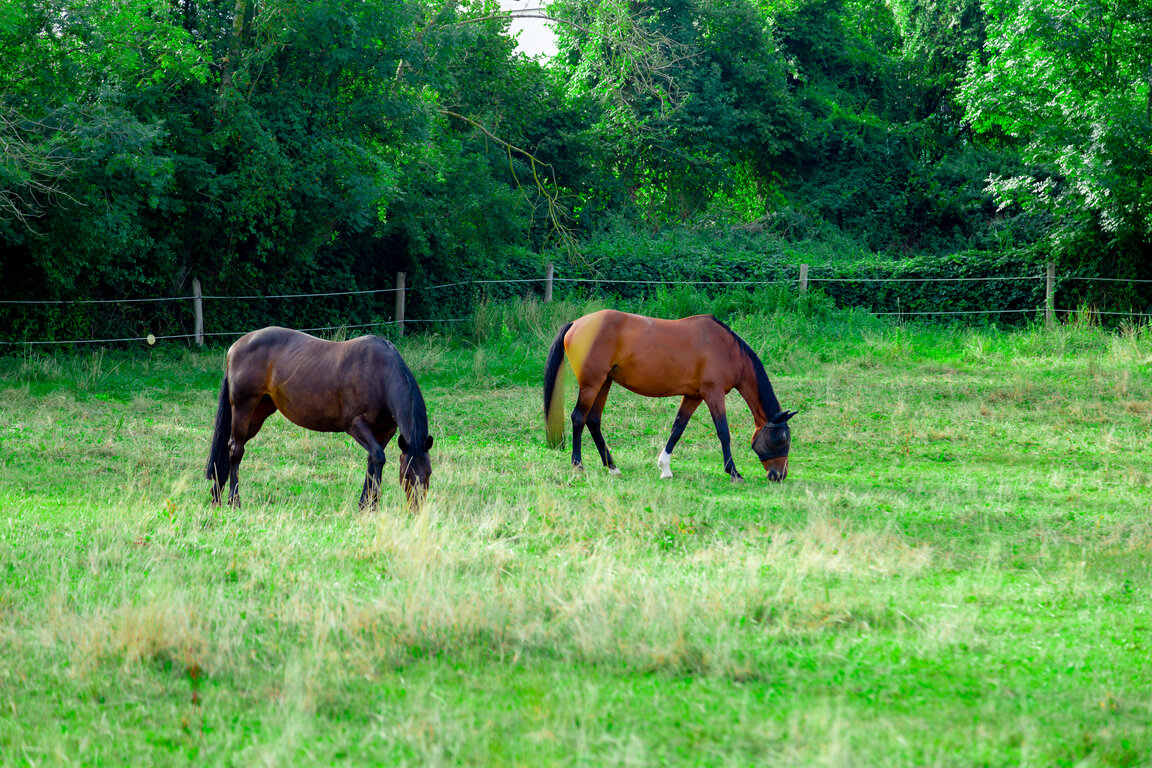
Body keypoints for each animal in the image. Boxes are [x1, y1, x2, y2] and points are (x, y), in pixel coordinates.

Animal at [205, 326, 433, 509]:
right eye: (406, 475)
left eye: (429, 473)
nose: (417, 509)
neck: (379, 374)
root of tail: (235, 347)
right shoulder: (356, 425)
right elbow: (378, 457)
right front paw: (371, 505)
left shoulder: (385, 431)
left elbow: (374, 460)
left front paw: (365, 505)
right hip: (243, 407)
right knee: (236, 450)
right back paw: (233, 500)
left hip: (259, 412)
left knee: (231, 447)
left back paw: (217, 496)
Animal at [543, 310, 796, 482]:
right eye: (782, 439)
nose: (779, 475)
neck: (727, 349)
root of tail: (576, 323)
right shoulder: (713, 394)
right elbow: (723, 432)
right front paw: (734, 472)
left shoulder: (693, 396)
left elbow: (677, 428)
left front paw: (664, 468)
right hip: (591, 384)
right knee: (579, 418)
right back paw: (578, 466)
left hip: (604, 382)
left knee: (594, 421)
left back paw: (613, 467)